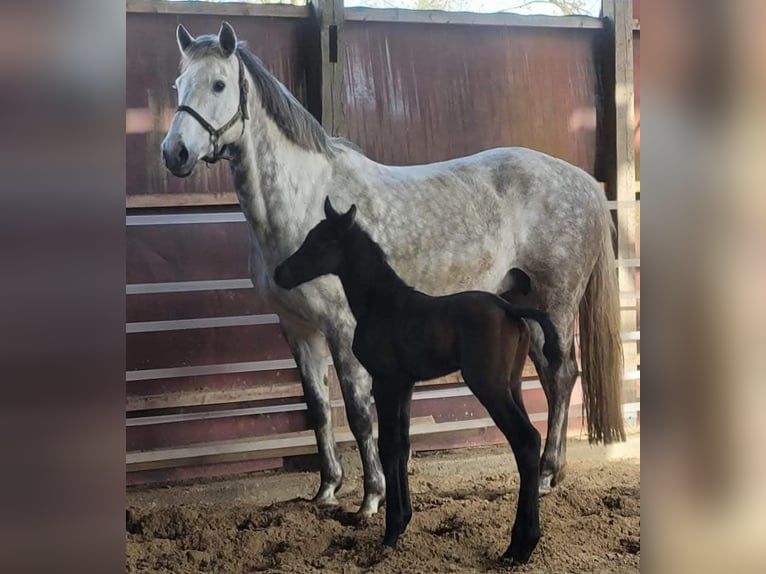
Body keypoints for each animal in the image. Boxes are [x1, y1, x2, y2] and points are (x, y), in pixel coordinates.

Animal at [160, 21, 624, 516]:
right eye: (178, 84)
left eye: (219, 84)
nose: (175, 153)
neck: (304, 201)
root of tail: (582, 181)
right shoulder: (297, 328)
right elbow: (318, 408)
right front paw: (327, 490)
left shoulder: (343, 329)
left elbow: (359, 413)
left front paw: (371, 498)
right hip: (523, 302)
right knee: (550, 377)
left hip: (557, 303)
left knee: (561, 375)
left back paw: (549, 474)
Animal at [276, 199, 564, 568]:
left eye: (322, 242)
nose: (280, 273)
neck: (381, 304)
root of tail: (510, 309)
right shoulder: (404, 384)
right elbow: (401, 444)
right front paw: (401, 523)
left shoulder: (385, 381)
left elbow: (387, 445)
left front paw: (389, 532)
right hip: (512, 385)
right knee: (528, 440)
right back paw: (521, 544)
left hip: (490, 386)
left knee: (525, 440)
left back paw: (520, 547)